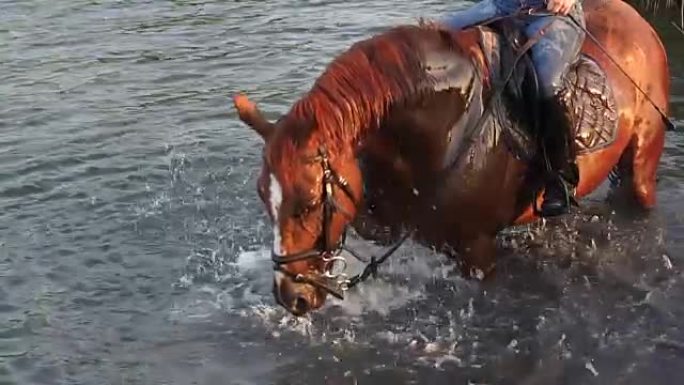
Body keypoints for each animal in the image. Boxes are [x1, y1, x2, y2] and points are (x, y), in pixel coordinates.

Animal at [234, 0, 668, 316]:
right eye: (262, 198)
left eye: (307, 204)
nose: (290, 296)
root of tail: (639, 22)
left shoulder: (477, 252)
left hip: (642, 163)